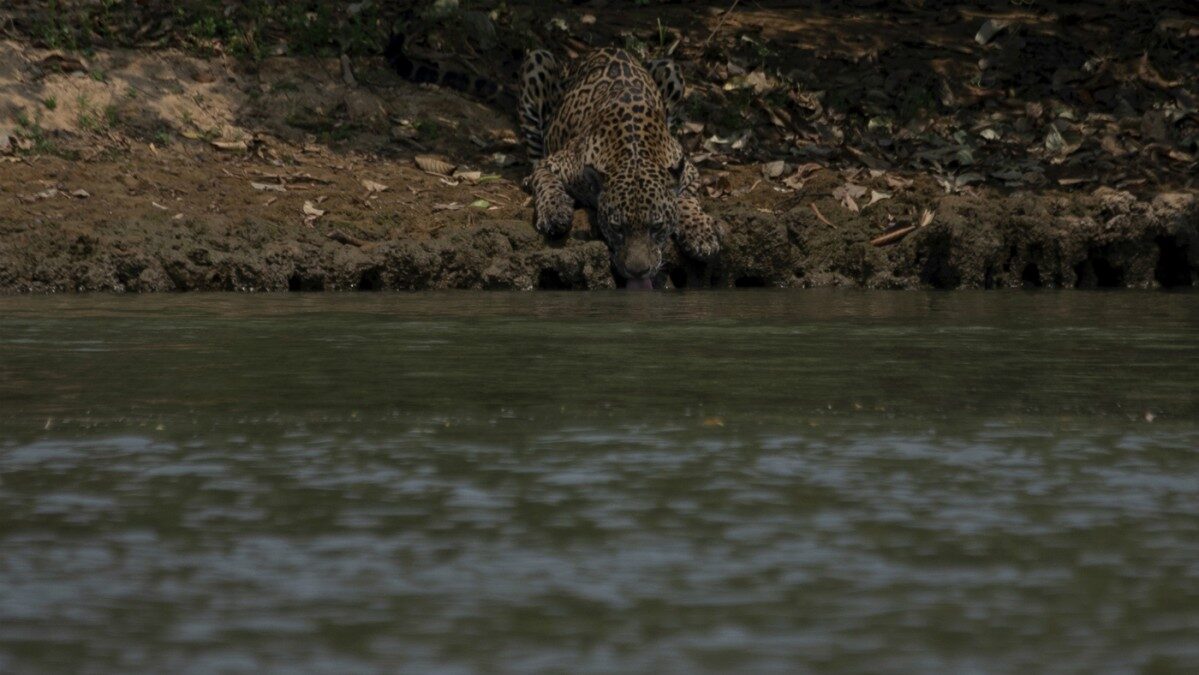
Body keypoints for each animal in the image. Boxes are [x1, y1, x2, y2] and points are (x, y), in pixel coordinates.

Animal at [519, 48, 722, 289]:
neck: (633, 153)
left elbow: (687, 198)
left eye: (657, 227)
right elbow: (545, 181)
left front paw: (700, 233)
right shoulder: (555, 163)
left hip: (670, 67)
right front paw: (555, 211)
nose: (637, 272)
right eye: (617, 227)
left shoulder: (688, 170)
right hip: (538, 60)